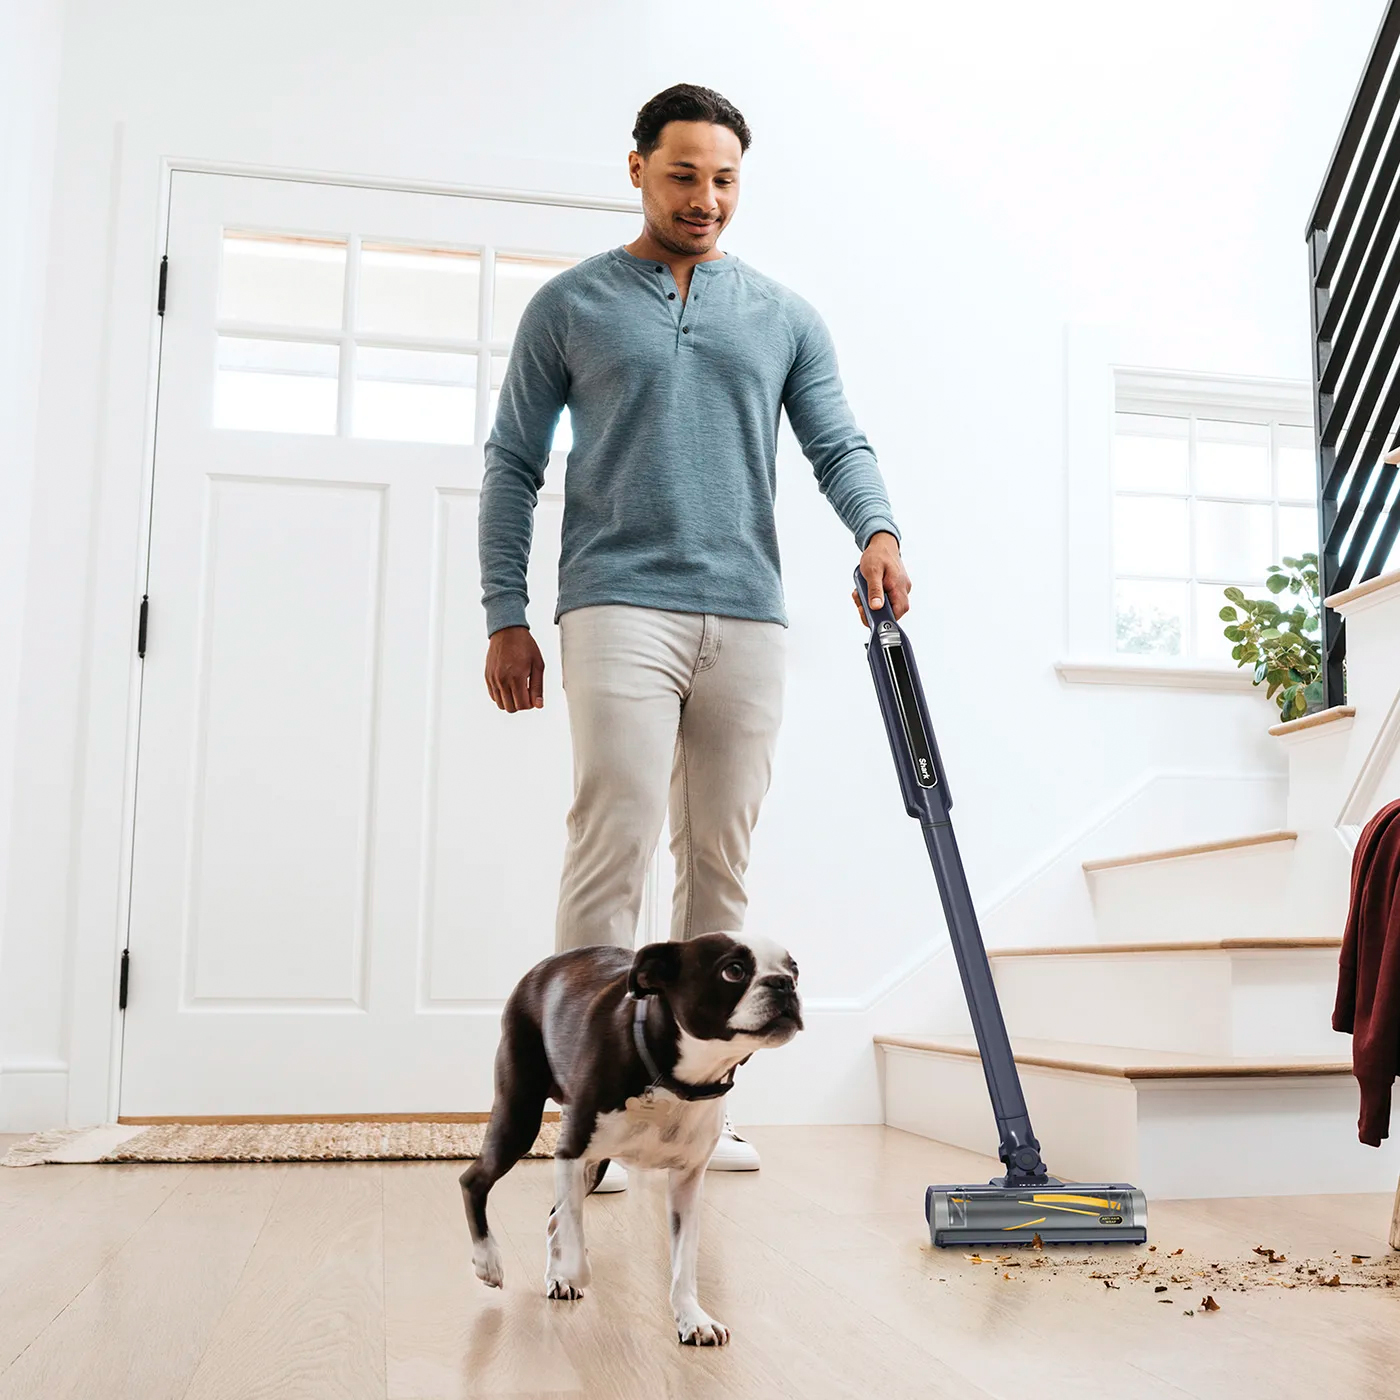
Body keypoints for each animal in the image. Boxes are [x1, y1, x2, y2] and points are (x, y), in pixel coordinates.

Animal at [464, 929, 806, 1344]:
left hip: (593, 1166)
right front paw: (574, 1269)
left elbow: (683, 1263)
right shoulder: (570, 1153)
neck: (678, 1080)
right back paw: (489, 1261)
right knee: (476, 1181)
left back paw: (554, 1276)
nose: (785, 984)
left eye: (795, 969)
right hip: (520, 1119)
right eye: (734, 970)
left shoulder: (687, 1183)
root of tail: (542, 968)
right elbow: (576, 1239)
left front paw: (693, 1318)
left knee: (554, 1215)